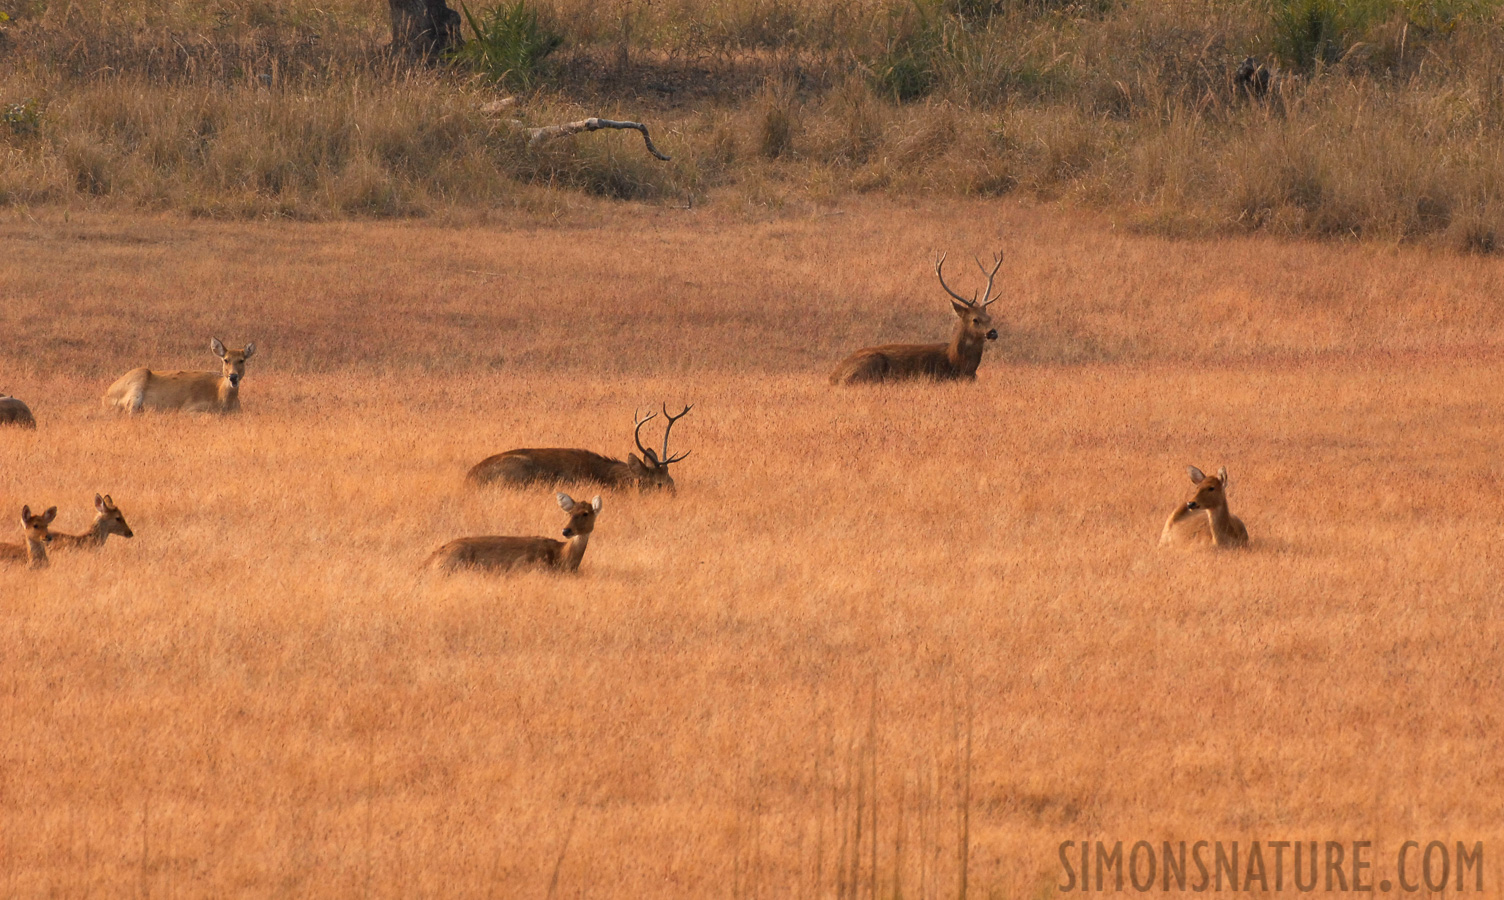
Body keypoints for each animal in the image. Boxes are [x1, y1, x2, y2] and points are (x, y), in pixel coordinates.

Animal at [102, 338, 255, 415]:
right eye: (226, 359)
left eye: (242, 360)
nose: (233, 376)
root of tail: (105, 396)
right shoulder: (189, 408)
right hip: (137, 380)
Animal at [427, 493, 601, 577]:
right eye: (569, 513)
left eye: (585, 513)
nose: (566, 530)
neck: (561, 557)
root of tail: (427, 561)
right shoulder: (525, 565)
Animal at [830, 249, 1004, 388]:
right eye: (975, 319)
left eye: (989, 317)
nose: (993, 333)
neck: (958, 364)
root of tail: (833, 376)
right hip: (871, 363)